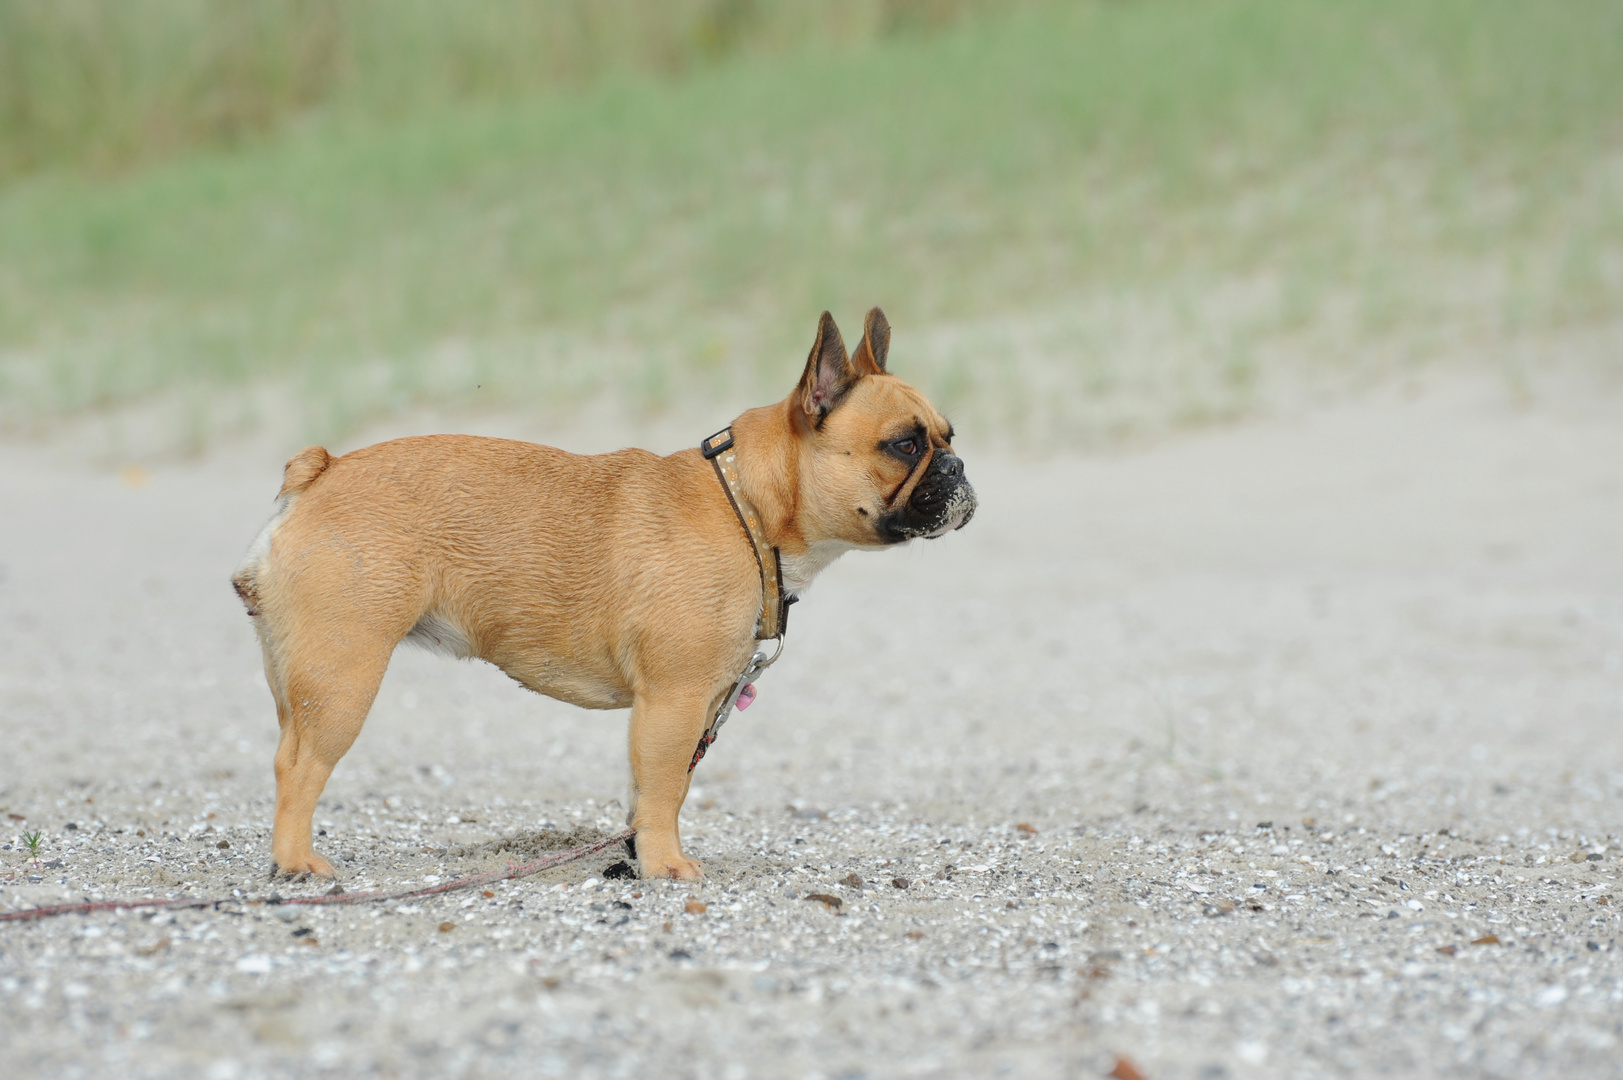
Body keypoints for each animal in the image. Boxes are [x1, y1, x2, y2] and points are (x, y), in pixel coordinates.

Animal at [235, 306, 973, 883]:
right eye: (903, 445)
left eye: (948, 436)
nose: (960, 467)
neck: (750, 505)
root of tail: (320, 472)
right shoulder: (673, 700)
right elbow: (664, 786)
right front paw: (666, 866)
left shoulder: (697, 704)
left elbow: (656, 793)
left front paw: (638, 856)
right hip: (345, 675)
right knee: (298, 766)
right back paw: (298, 864)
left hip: (295, 674)